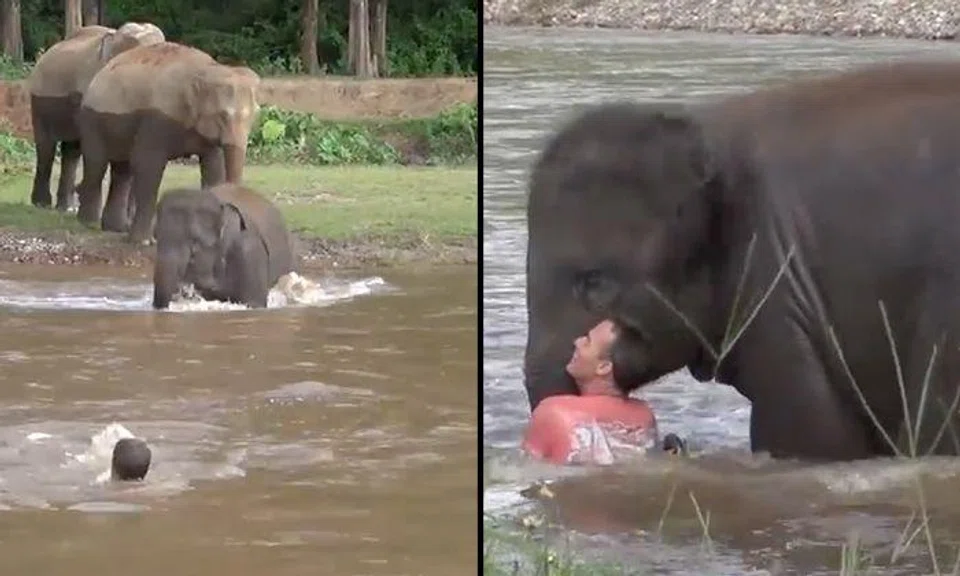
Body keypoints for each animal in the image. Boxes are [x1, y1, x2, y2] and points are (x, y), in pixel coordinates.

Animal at [75, 41, 261, 243]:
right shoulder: (156, 118)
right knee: (96, 164)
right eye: (223, 115)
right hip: (91, 120)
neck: (205, 69)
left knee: (122, 171)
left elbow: (213, 168)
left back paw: (116, 228)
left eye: (255, 116)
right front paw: (144, 241)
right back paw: (88, 223)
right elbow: (147, 164)